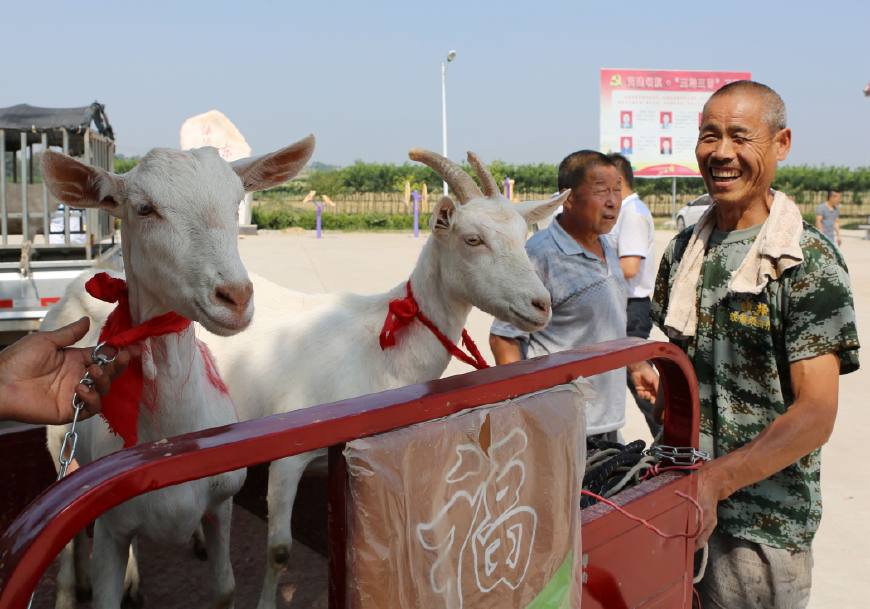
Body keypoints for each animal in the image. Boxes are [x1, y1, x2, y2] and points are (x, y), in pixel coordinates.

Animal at [41, 135, 318, 608]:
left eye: (237, 201)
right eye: (144, 208)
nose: (236, 297)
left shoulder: (221, 500)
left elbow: (224, 588)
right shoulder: (109, 522)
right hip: (59, 444)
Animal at [196, 151, 564, 608]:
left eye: (523, 235)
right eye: (472, 239)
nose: (541, 304)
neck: (379, 348)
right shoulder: (287, 456)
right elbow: (279, 550)